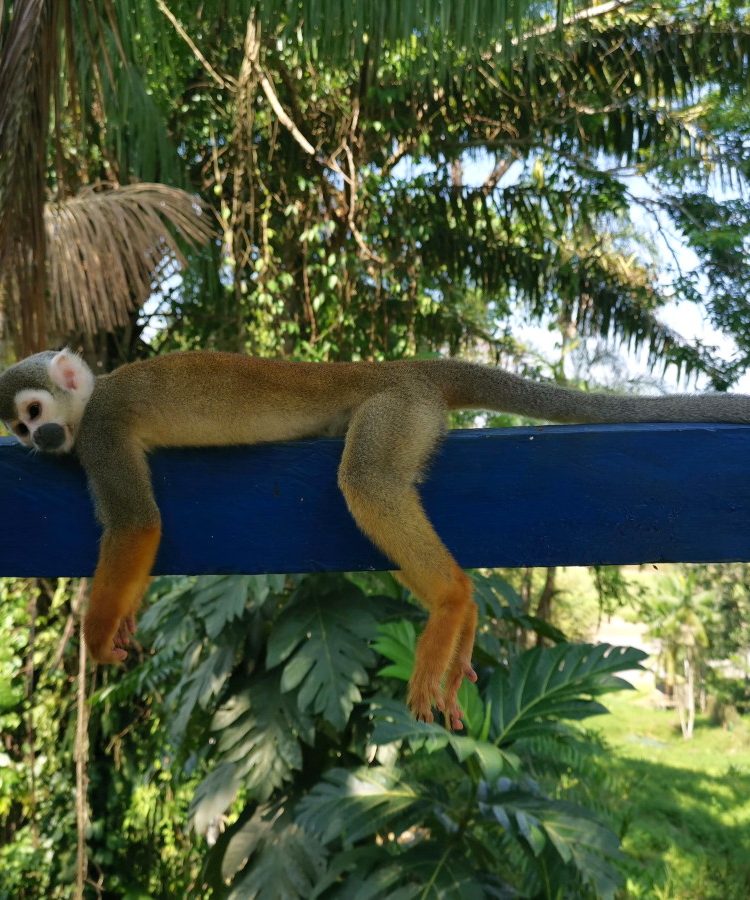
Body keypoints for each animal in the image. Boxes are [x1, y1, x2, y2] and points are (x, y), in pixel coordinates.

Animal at [4, 348, 750, 728]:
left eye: (36, 411)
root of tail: (405, 366)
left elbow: (136, 523)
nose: (41, 439)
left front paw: (97, 630)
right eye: (19, 426)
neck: (90, 400)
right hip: (411, 418)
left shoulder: (101, 435)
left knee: (365, 481)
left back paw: (452, 600)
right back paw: (463, 619)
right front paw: (123, 618)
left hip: (396, 410)